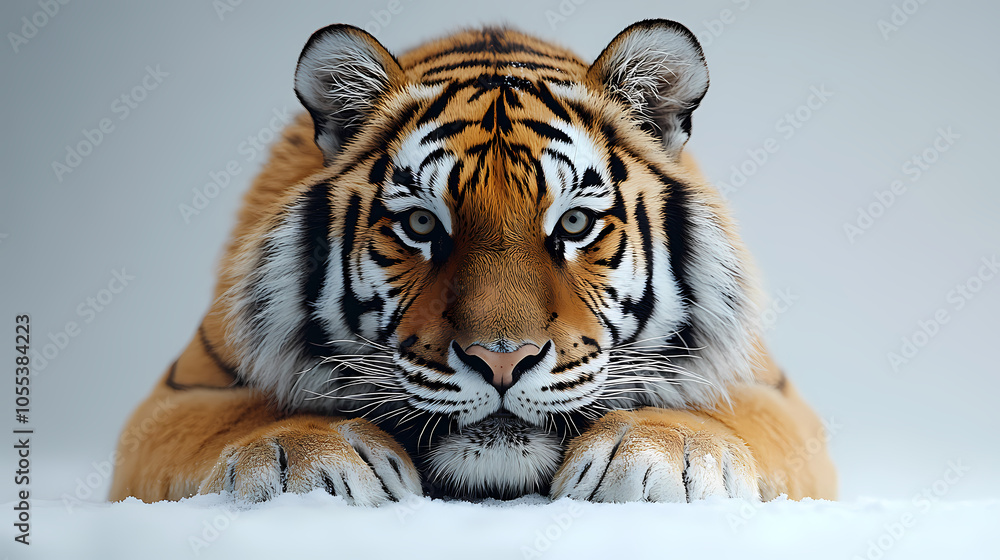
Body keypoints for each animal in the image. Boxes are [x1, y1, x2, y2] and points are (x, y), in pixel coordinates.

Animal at [109, 19, 836, 505]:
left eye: (574, 224)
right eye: (421, 225)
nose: (502, 361)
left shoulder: (774, 394)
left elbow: (732, 415)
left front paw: (668, 448)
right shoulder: (177, 396)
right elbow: (238, 418)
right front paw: (308, 455)